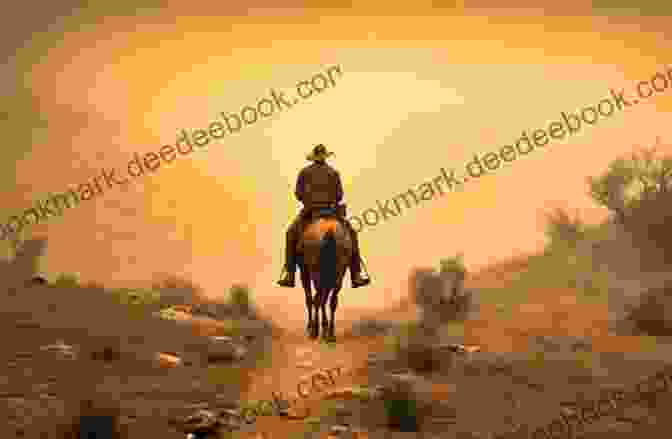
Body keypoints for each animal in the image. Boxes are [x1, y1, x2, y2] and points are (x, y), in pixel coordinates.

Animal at [298, 211, 354, 342]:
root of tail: (330, 232)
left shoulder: (305, 271)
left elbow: (310, 299)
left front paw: (313, 327)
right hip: (337, 273)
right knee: (330, 300)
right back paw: (329, 333)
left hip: (317, 273)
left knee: (318, 299)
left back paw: (317, 330)